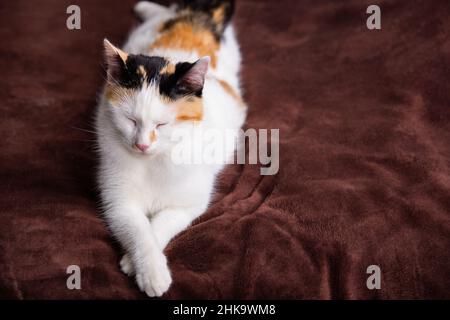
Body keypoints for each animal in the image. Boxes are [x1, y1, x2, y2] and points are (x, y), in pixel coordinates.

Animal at [94, 0, 246, 298]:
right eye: (130, 120)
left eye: (162, 124)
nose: (142, 144)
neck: (153, 163)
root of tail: (197, 17)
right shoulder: (119, 202)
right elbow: (140, 232)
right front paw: (150, 270)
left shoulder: (189, 204)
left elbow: (160, 225)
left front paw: (137, 266)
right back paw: (145, 7)